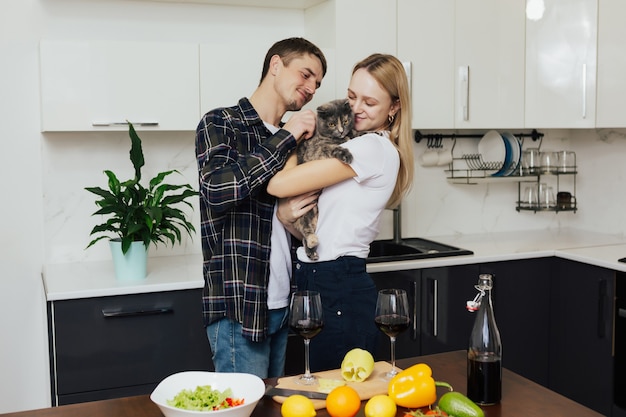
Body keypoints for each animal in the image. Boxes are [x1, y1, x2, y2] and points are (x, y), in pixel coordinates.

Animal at [292, 98, 356, 260]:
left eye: (345, 121)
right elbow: (333, 147)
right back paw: (312, 242)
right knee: (306, 230)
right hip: (307, 211)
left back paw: (311, 253)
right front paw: (345, 154)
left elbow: (355, 132)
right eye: (331, 124)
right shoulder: (316, 149)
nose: (341, 131)